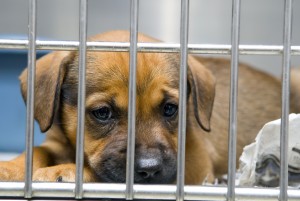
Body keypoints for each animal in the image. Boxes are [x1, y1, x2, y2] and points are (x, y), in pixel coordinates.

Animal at [0, 30, 298, 185]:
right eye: (102, 113)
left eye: (170, 109)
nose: (150, 170)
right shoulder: (56, 141)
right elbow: (36, 150)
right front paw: (11, 168)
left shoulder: (191, 168)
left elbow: (106, 175)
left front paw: (64, 171)